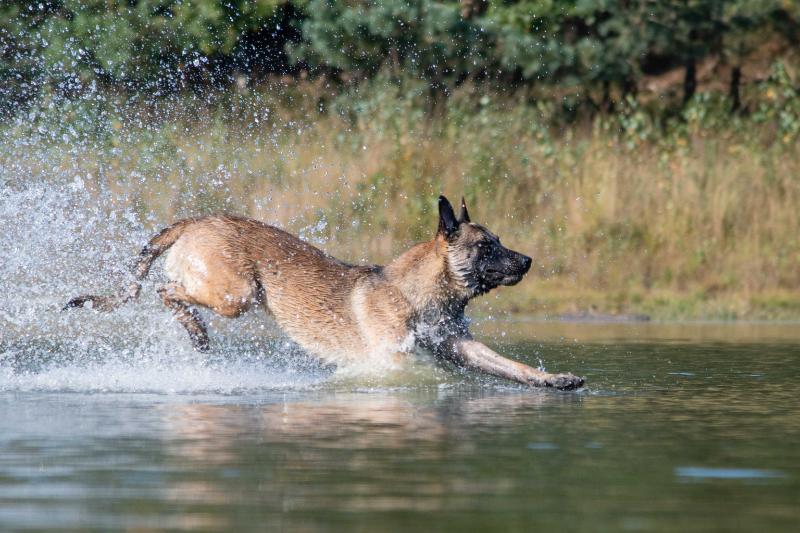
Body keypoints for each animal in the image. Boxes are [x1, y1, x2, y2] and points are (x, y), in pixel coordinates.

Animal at [65, 195, 584, 390]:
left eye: (499, 242)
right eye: (487, 247)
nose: (527, 261)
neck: (424, 294)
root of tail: (196, 220)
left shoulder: (461, 345)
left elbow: (511, 366)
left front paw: (556, 379)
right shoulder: (394, 359)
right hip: (237, 295)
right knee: (165, 291)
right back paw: (194, 330)